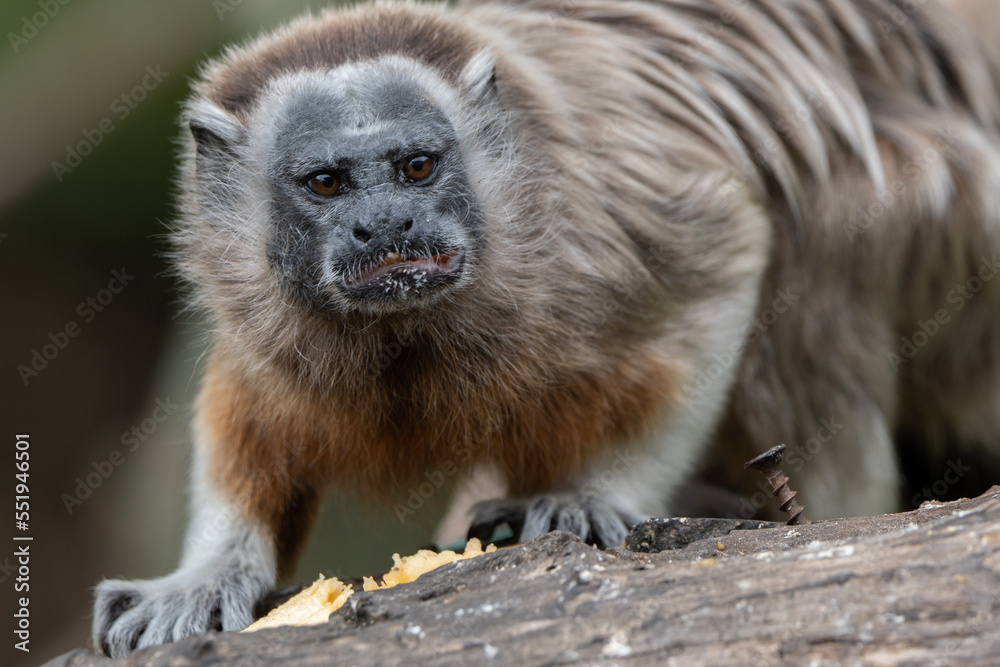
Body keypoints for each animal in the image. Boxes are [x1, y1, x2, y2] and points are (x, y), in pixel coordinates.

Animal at [93, 0, 1000, 657]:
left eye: (417, 167)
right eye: (326, 183)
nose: (386, 223)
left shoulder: (611, 216)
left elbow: (726, 262)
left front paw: (594, 494)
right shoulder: (255, 296)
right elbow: (252, 411)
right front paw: (204, 574)